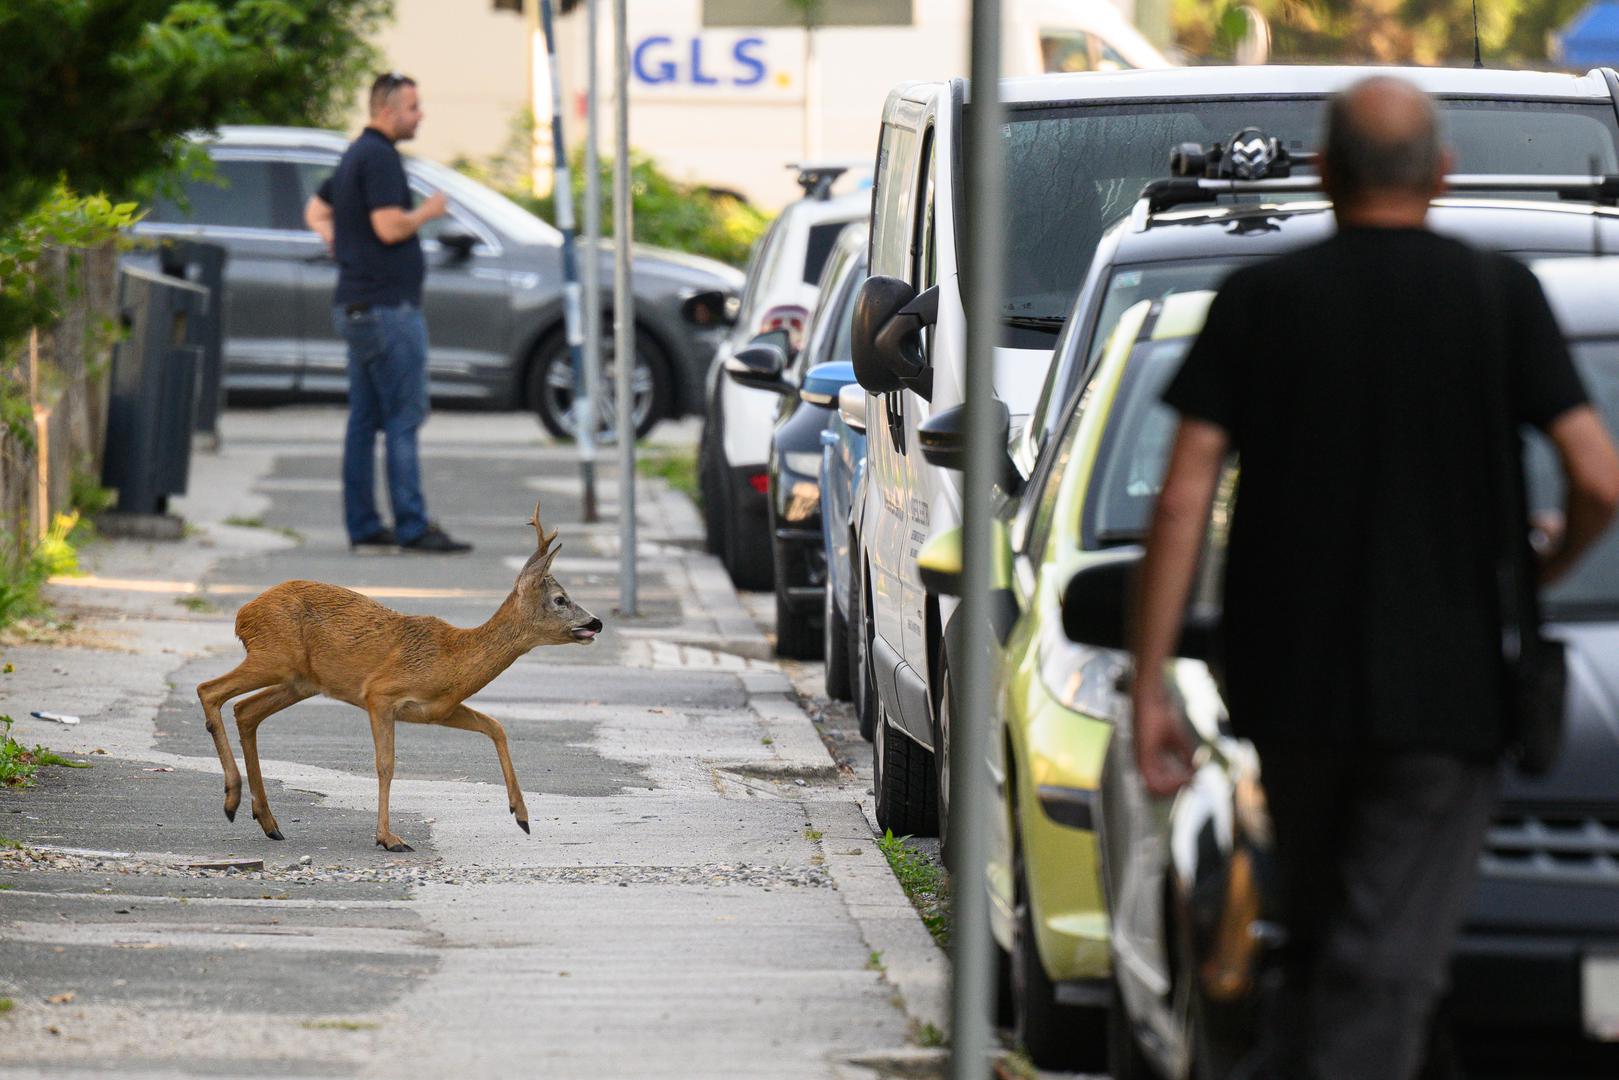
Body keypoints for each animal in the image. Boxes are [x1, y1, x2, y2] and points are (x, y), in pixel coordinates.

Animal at [196, 501, 602, 854]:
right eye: (561, 599)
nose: (596, 622)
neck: (453, 658)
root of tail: (243, 614)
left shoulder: (437, 710)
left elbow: (495, 726)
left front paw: (522, 815)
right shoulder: (380, 694)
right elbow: (386, 765)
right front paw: (389, 838)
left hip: (300, 681)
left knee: (246, 711)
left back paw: (267, 821)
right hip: (274, 657)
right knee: (209, 690)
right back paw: (232, 798)